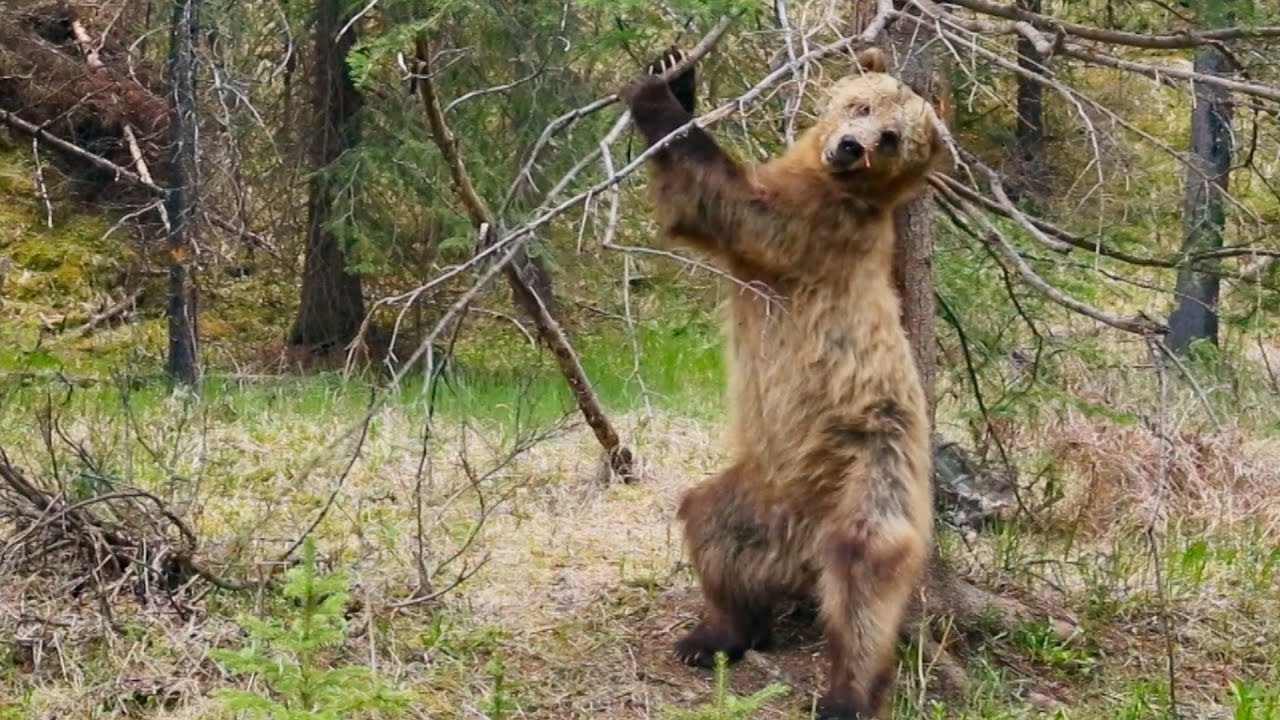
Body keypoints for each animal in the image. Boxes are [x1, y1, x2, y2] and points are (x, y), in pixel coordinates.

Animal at [619, 46, 945, 719]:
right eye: (861, 105)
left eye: (892, 137)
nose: (848, 147)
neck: (837, 185)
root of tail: (802, 542)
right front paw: (677, 73)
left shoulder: (810, 227)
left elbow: (726, 205)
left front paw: (657, 102)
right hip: (760, 488)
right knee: (710, 523)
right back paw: (716, 634)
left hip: (875, 462)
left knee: (864, 575)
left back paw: (847, 693)